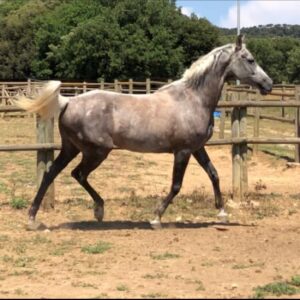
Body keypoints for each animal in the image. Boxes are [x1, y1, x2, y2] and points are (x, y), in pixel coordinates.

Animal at [15, 35, 272, 229]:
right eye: (250, 59)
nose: (268, 84)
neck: (193, 100)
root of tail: (68, 101)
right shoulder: (183, 151)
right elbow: (176, 185)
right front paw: (156, 217)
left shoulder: (197, 148)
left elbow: (214, 174)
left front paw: (222, 213)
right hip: (96, 151)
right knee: (77, 174)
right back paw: (98, 210)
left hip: (71, 148)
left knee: (51, 174)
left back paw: (33, 218)